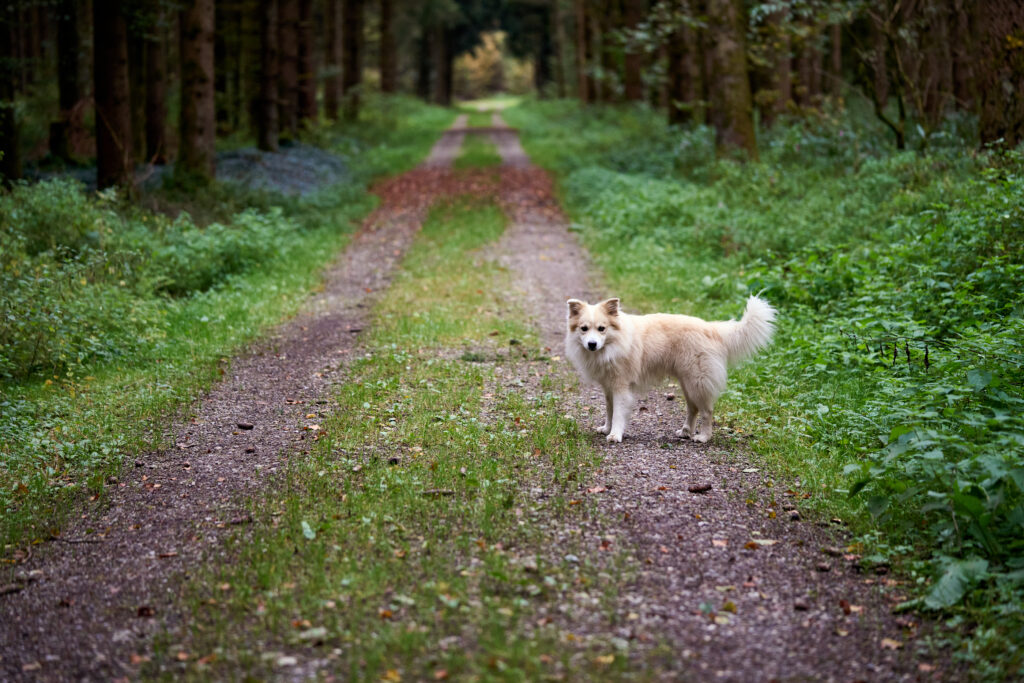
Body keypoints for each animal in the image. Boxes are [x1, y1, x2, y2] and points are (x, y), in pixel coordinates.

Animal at [565, 294, 770, 444]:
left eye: (602, 328)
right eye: (584, 328)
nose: (592, 344)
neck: (614, 342)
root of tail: (712, 329)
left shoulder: (621, 388)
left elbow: (618, 414)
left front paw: (615, 434)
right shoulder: (608, 388)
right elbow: (609, 411)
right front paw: (606, 428)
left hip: (697, 383)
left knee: (707, 411)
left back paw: (703, 437)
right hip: (687, 384)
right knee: (693, 409)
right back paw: (686, 431)